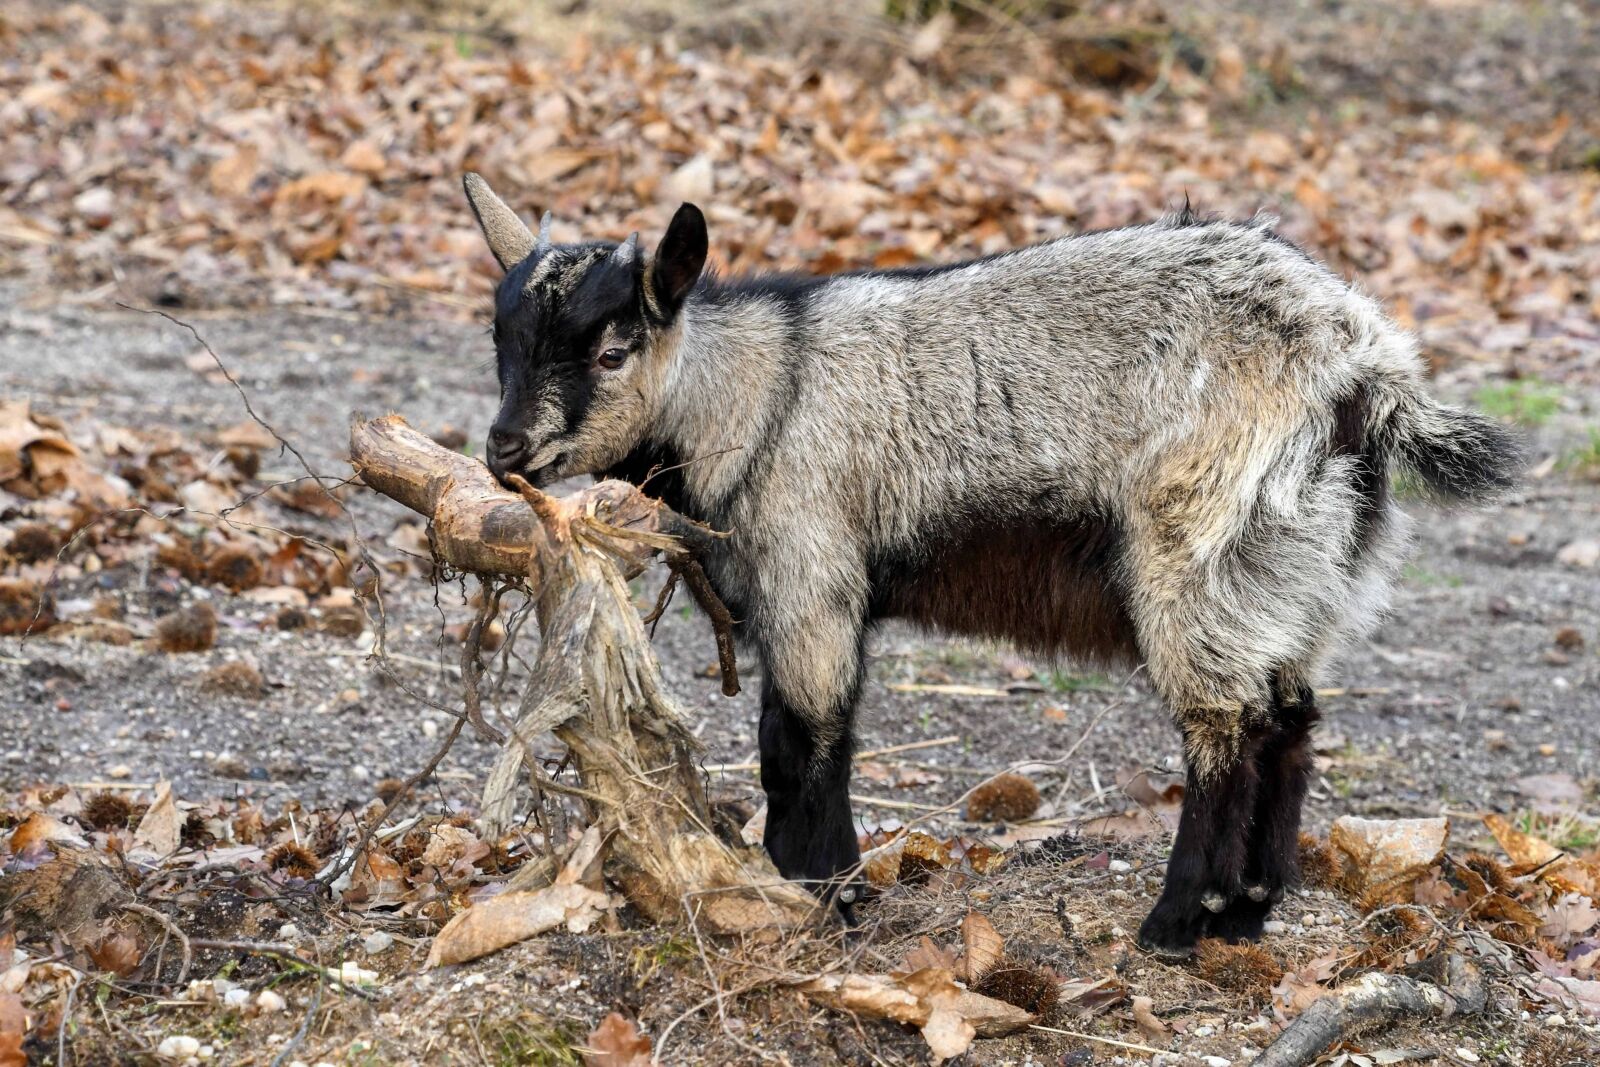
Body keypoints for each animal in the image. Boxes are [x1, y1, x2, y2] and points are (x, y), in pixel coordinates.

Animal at [460, 173, 1519, 956]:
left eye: (611, 351)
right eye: (502, 340)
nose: (505, 450)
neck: (758, 394)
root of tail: (1363, 369)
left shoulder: (812, 571)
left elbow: (799, 744)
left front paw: (824, 894)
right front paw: (818, 887)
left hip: (1199, 545)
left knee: (1227, 727)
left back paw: (1178, 923)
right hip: (1297, 564)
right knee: (1289, 722)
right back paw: (1250, 911)